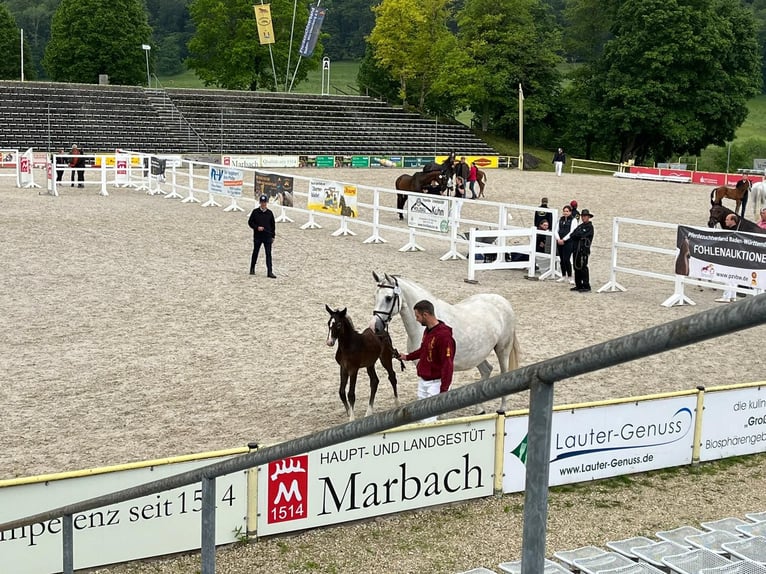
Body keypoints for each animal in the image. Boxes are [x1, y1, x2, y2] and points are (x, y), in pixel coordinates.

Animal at [370, 274, 524, 414]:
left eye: (388, 298)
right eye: (375, 296)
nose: (374, 327)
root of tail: (503, 301)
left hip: (502, 349)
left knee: (503, 373)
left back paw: (502, 408)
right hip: (478, 355)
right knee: (487, 370)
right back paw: (479, 409)